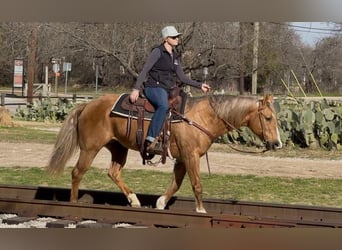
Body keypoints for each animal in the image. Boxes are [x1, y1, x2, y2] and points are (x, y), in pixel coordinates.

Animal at [46, 93, 282, 213]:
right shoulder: (190, 156)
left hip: (118, 148)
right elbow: (196, 184)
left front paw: (160, 203)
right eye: (268, 117)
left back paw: (134, 200)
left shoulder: (182, 158)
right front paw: (201, 212)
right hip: (90, 148)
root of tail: (86, 105)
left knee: (113, 172)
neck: (202, 117)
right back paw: (73, 204)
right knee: (77, 173)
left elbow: (176, 183)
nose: (277, 143)